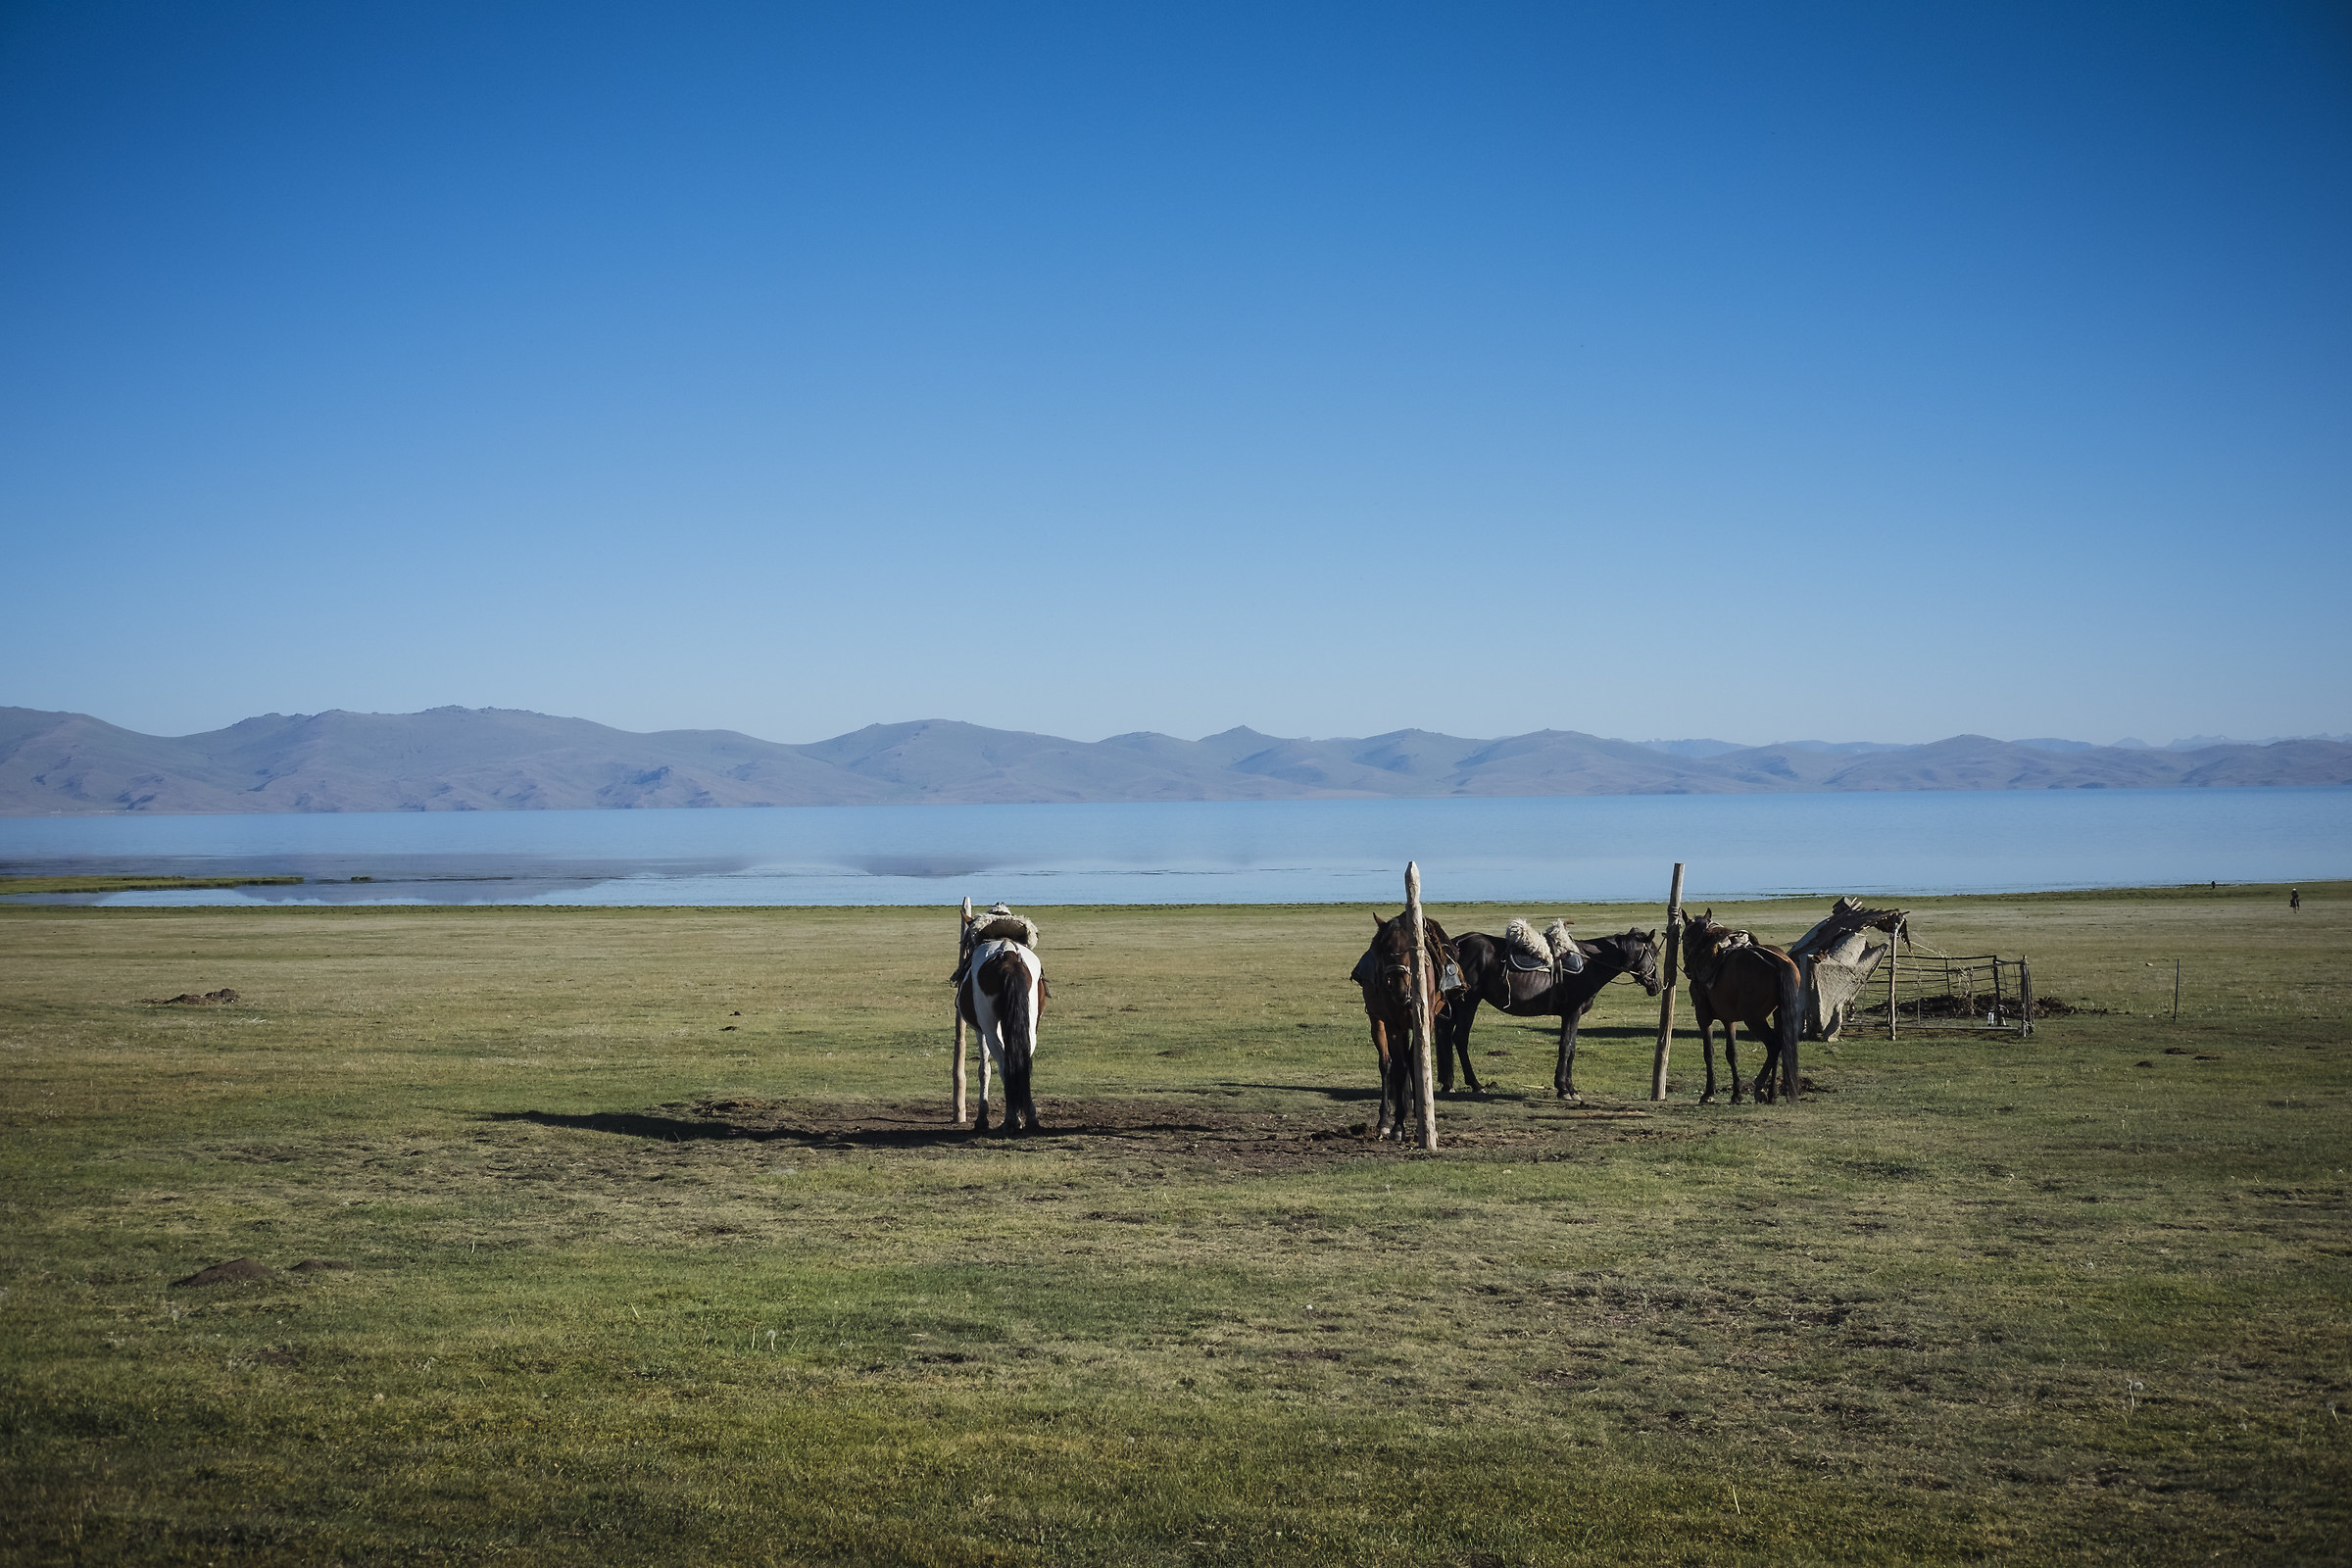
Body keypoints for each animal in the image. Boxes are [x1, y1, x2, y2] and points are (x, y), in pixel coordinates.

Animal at [954, 907, 1048, 1134]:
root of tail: (1008, 954)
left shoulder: (981, 1031)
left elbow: (984, 1069)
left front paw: (982, 1118)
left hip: (989, 1027)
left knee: (1005, 1063)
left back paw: (1012, 1118)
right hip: (1029, 1025)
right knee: (1022, 1061)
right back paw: (1029, 1117)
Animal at [1348, 911, 1457, 1140]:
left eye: (1411, 948)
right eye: (1385, 950)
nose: (1399, 990)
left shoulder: (1426, 1022)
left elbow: (1416, 1061)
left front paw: (1421, 1113)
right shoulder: (1392, 1024)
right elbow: (1399, 1068)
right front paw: (1398, 1125)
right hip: (1377, 1022)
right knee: (1386, 1063)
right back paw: (1384, 1120)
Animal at [1437, 927, 1664, 1099]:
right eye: (1653, 954)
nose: (1658, 985)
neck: (1591, 964)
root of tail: (1458, 943)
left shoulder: (1568, 1015)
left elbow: (1569, 1047)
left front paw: (1566, 1087)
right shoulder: (1573, 1013)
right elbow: (1567, 1047)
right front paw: (1566, 1089)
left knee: (1446, 1035)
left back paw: (1449, 1083)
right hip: (1469, 1002)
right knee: (1460, 1038)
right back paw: (1475, 1084)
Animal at [1680, 910, 1804, 1104]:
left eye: (1685, 938)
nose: (1686, 968)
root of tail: (1779, 961)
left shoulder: (1703, 1016)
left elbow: (1709, 1053)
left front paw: (1708, 1093)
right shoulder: (1729, 1020)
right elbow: (1732, 1054)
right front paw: (1736, 1094)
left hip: (1754, 1019)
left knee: (1773, 1045)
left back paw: (1760, 1087)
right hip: (1779, 1014)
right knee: (1780, 1045)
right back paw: (1771, 1094)